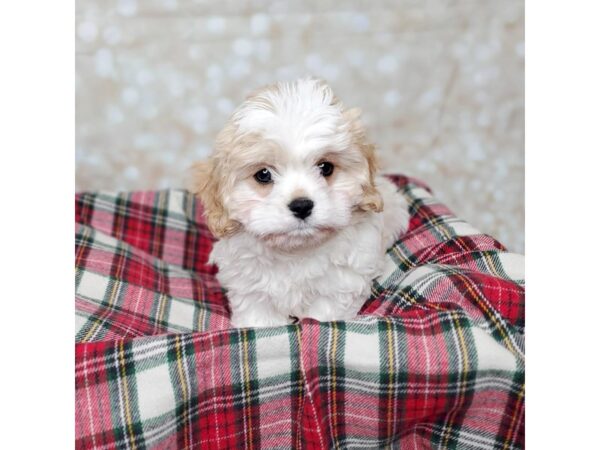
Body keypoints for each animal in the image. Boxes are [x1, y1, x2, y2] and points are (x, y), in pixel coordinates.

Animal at [195, 78, 410, 326]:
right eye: (263, 174)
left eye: (326, 167)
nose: (301, 206)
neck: (295, 252)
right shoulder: (250, 288)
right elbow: (259, 320)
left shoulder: (340, 285)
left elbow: (323, 316)